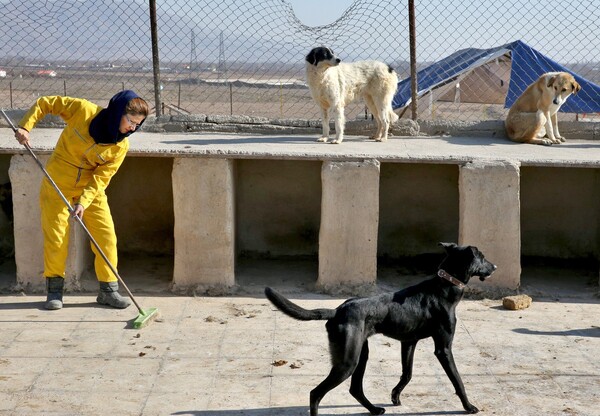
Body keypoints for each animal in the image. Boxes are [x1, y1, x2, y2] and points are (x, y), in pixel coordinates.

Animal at [266, 242, 496, 414]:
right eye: (483, 257)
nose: (495, 267)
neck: (445, 285)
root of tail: (338, 310)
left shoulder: (408, 342)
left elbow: (407, 373)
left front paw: (395, 395)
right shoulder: (443, 348)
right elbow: (458, 380)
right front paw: (469, 406)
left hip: (361, 354)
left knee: (355, 389)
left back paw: (375, 409)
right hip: (348, 361)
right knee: (316, 393)